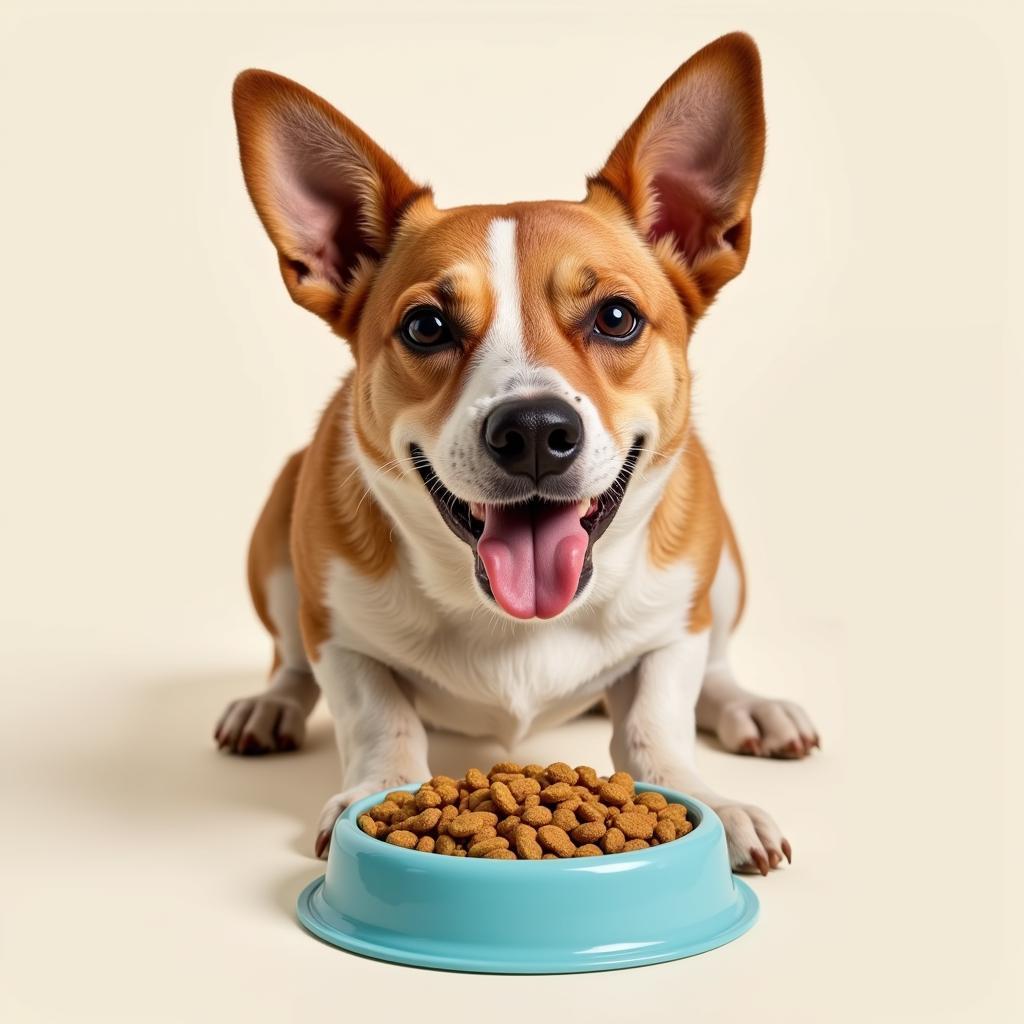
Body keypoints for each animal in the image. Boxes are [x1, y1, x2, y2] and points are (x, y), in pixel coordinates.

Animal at [216, 36, 815, 876]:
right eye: (427, 326)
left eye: (618, 317)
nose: (533, 429)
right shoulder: (337, 632)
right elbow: (378, 716)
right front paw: (376, 792)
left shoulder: (677, 628)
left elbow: (656, 721)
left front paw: (711, 803)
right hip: (275, 536)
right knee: (289, 663)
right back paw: (268, 705)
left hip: (723, 569)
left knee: (718, 668)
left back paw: (751, 710)